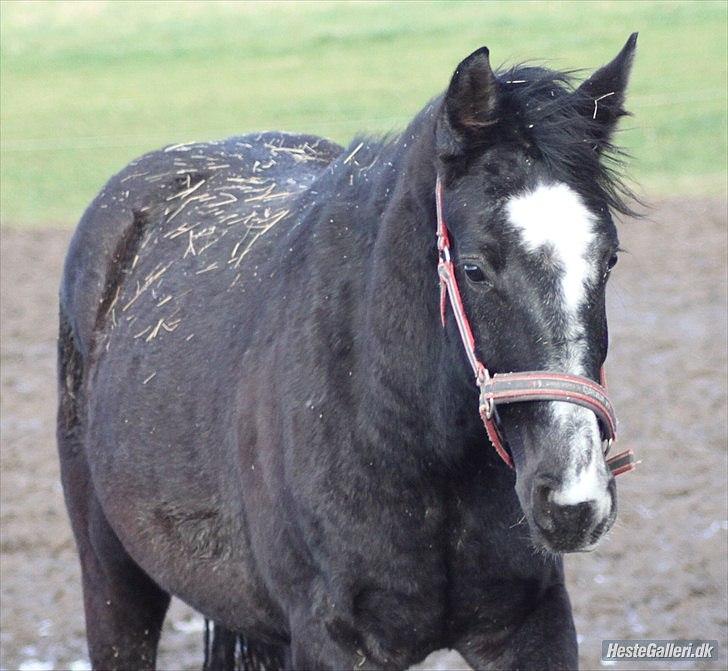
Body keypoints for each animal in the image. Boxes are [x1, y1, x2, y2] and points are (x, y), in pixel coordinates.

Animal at [57, 36, 636, 671]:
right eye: (475, 268)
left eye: (609, 259)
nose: (574, 500)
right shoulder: (330, 640)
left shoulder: (532, 626)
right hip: (112, 579)